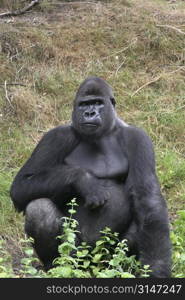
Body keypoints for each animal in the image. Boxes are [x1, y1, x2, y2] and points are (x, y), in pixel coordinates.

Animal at [10, 75, 171, 276]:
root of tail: (93, 265)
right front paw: (84, 180)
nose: (89, 113)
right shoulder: (56, 136)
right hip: (78, 256)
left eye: (97, 103)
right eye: (84, 104)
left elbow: (148, 199)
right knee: (39, 209)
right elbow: (21, 185)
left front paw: (157, 269)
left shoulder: (139, 138)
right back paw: (54, 266)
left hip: (106, 258)